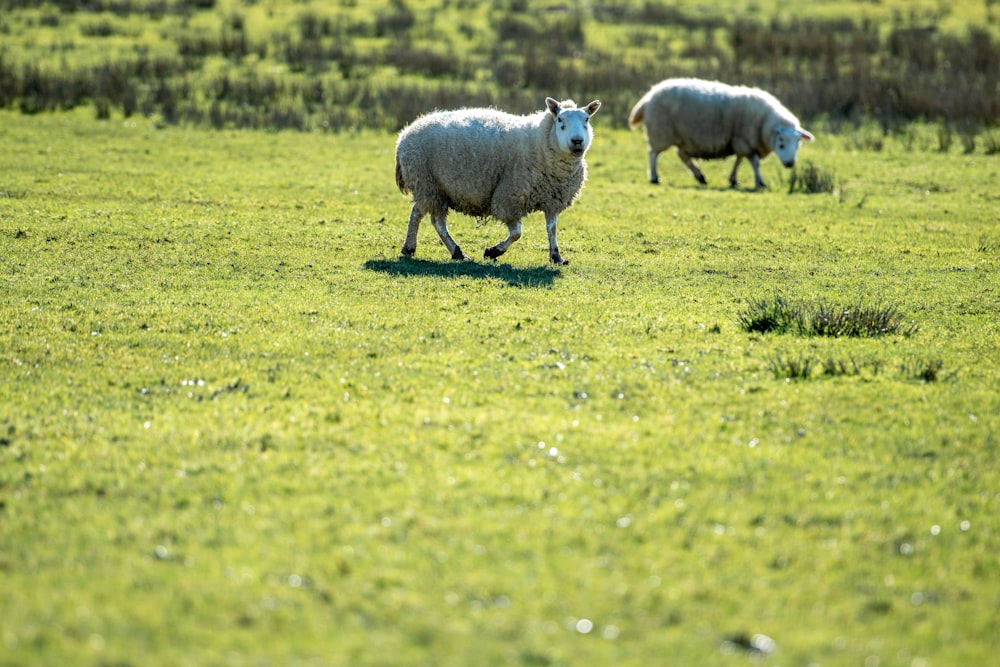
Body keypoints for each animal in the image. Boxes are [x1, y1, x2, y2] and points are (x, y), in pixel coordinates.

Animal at [396, 96, 600, 264]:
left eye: (587, 120)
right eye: (560, 120)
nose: (577, 141)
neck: (543, 143)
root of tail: (406, 133)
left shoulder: (552, 199)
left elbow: (552, 229)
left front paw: (556, 256)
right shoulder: (509, 197)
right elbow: (517, 233)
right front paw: (493, 251)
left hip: (428, 187)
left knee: (417, 212)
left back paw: (409, 248)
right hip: (428, 182)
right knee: (437, 222)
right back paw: (457, 252)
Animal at [628, 80, 816, 193]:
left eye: (798, 144)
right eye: (781, 143)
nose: (790, 164)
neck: (764, 123)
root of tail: (649, 96)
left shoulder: (741, 142)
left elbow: (739, 160)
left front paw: (734, 179)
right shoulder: (745, 140)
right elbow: (754, 163)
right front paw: (760, 182)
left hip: (681, 137)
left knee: (682, 155)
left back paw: (700, 176)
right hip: (661, 132)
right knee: (653, 154)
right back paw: (654, 177)